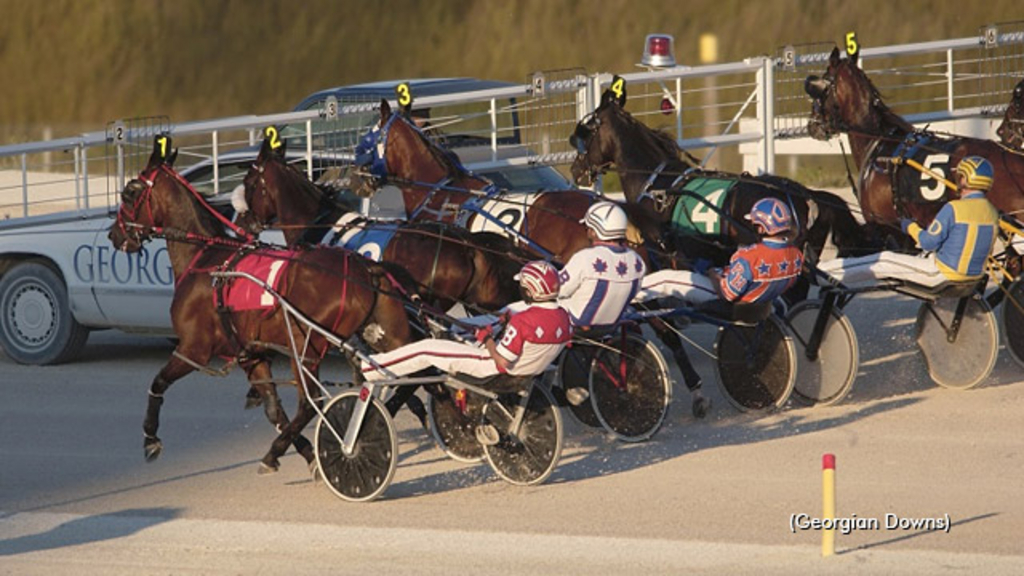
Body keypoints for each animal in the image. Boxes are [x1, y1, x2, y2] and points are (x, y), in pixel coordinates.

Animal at [108, 136, 415, 473]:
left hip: (304, 345)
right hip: (382, 332)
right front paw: (307, 454)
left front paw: (150, 438)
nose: (114, 234)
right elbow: (273, 410)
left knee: (311, 403)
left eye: (130, 191)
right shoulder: (251, 355)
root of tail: (364, 266)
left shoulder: (192, 350)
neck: (206, 258)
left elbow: (159, 383)